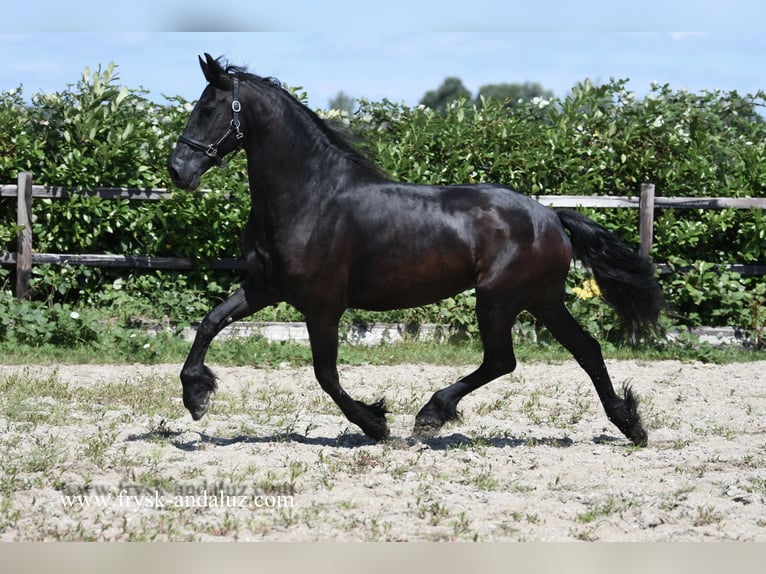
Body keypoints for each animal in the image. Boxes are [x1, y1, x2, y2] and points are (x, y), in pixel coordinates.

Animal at [168, 54, 664, 448]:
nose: (178, 170)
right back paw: (630, 425)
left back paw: (430, 415)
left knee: (502, 360)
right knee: (586, 350)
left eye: (208, 108)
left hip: (499, 299)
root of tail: (551, 218)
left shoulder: (323, 305)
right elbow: (210, 322)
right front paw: (196, 396)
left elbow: (325, 374)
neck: (311, 197)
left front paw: (375, 423)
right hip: (542, 299)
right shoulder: (263, 287)